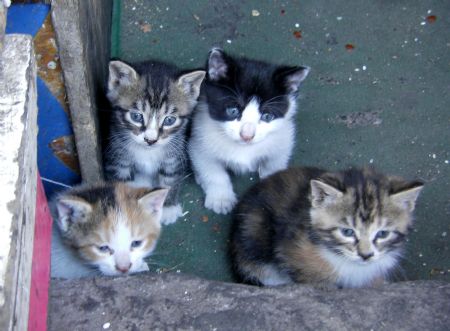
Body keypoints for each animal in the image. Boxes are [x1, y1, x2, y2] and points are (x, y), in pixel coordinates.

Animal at [104, 60, 205, 226]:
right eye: (136, 116)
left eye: (169, 120)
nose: (150, 140)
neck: (148, 151)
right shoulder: (118, 157)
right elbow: (120, 184)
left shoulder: (174, 157)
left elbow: (170, 179)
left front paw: (168, 207)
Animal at [187, 48, 310, 215]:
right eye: (233, 110)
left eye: (267, 116)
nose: (247, 136)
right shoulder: (199, 140)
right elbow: (212, 170)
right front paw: (221, 199)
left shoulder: (284, 139)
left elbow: (275, 163)